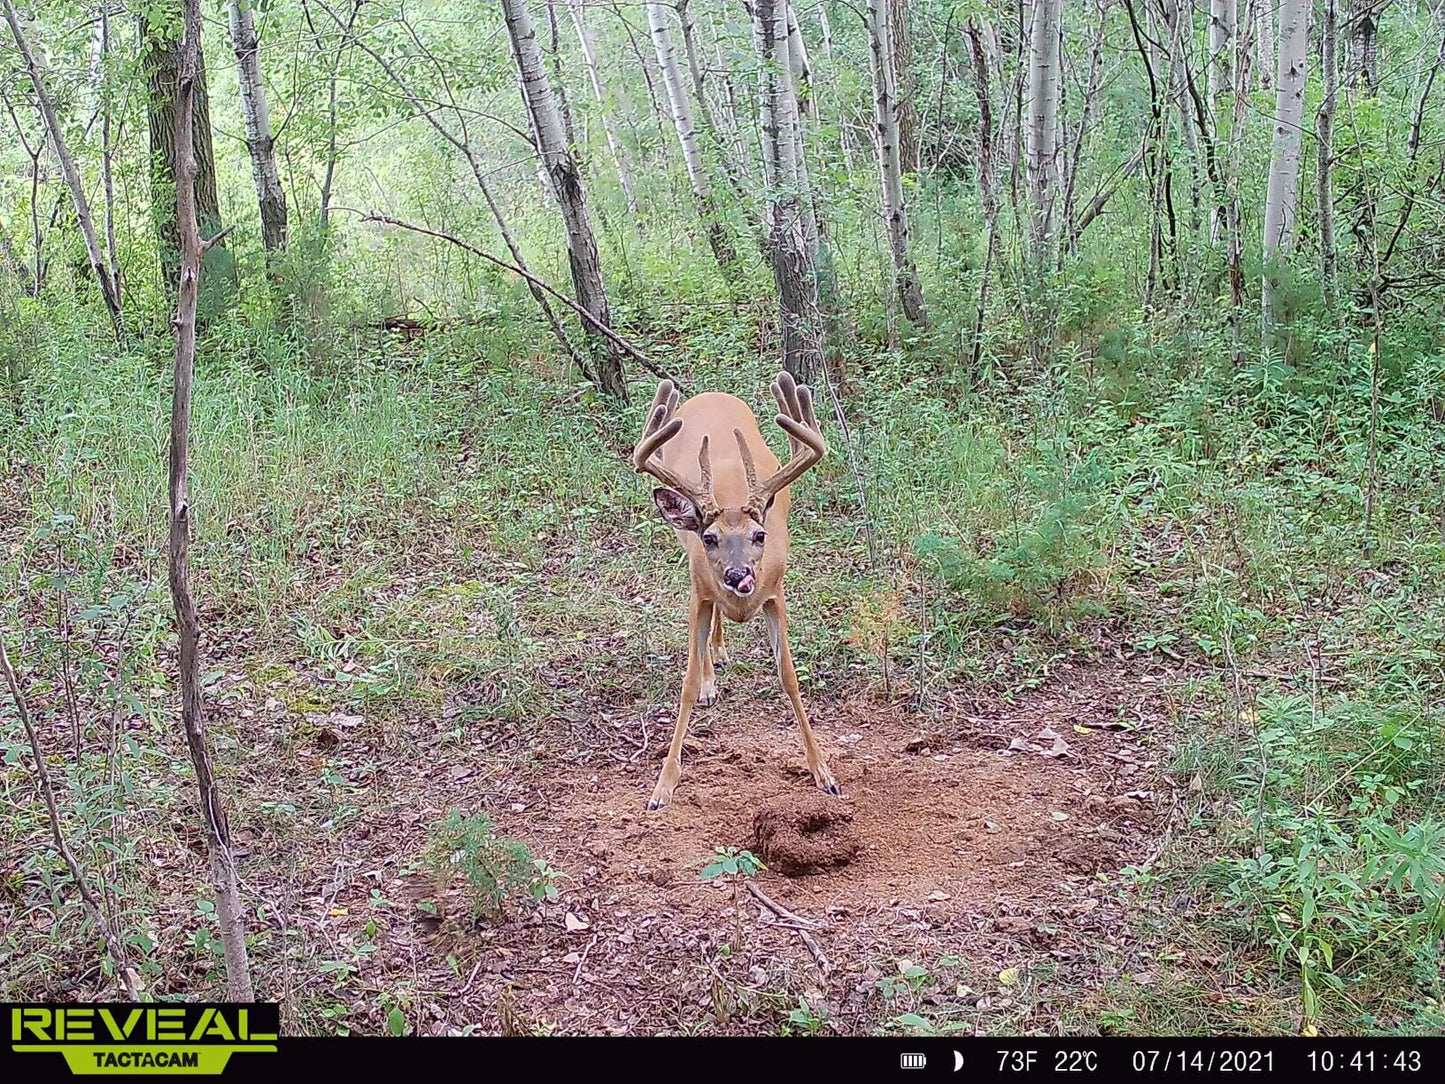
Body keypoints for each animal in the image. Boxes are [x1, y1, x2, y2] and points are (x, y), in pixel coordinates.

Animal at [632, 371, 840, 811]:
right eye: (709, 538)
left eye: (759, 535)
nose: (738, 575)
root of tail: (711, 393)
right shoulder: (698, 592)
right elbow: (688, 682)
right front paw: (663, 786)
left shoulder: (776, 592)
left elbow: (789, 676)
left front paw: (823, 772)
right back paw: (714, 670)